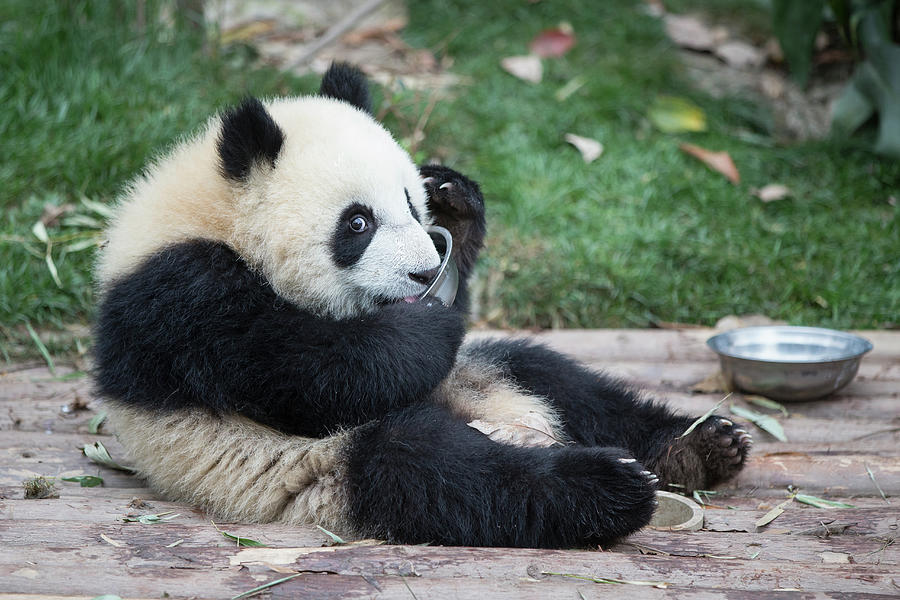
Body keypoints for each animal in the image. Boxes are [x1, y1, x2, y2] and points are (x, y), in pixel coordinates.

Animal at [93, 61, 752, 548]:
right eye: (357, 223)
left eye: (413, 204)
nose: (425, 270)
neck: (208, 214)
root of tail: (509, 419)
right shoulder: (178, 297)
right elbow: (299, 372)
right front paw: (420, 328)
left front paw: (456, 202)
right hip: (311, 470)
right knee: (433, 470)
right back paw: (609, 485)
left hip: (488, 373)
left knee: (561, 381)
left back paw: (701, 447)